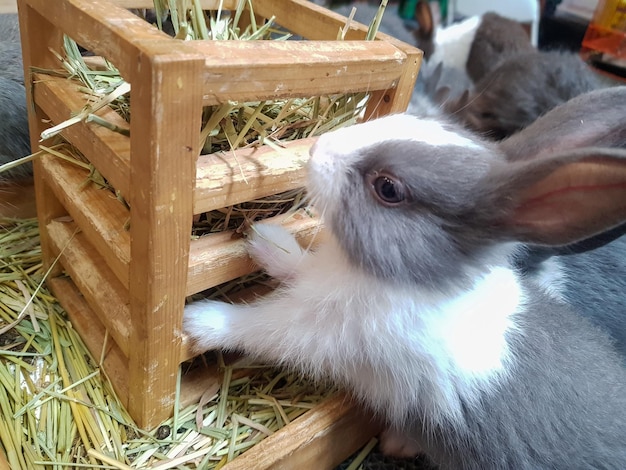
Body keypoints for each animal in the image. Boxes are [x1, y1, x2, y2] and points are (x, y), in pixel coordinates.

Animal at [184, 84, 624, 466]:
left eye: (388, 188)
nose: (317, 148)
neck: (405, 280)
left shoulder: (316, 335)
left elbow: (258, 328)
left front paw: (199, 321)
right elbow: (296, 265)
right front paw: (265, 240)